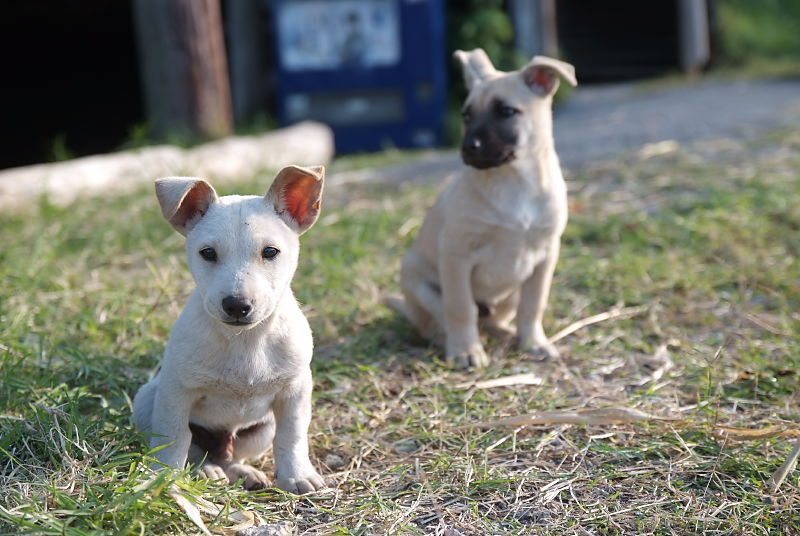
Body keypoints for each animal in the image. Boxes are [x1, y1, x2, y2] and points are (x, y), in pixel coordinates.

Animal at [134, 164, 324, 494]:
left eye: (270, 252)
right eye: (208, 253)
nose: (236, 305)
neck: (244, 340)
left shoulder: (295, 391)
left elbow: (291, 437)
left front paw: (297, 475)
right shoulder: (175, 392)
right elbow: (174, 437)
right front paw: (164, 477)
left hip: (260, 430)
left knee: (233, 456)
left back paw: (241, 471)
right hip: (146, 399)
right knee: (196, 451)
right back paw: (207, 470)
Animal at [388, 49, 576, 368]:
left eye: (506, 112)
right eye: (466, 115)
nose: (468, 148)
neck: (514, 181)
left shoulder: (545, 257)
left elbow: (533, 305)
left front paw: (534, 343)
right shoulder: (457, 255)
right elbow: (461, 308)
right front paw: (466, 351)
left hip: (510, 293)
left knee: (493, 320)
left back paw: (507, 333)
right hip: (418, 284)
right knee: (438, 322)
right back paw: (449, 341)